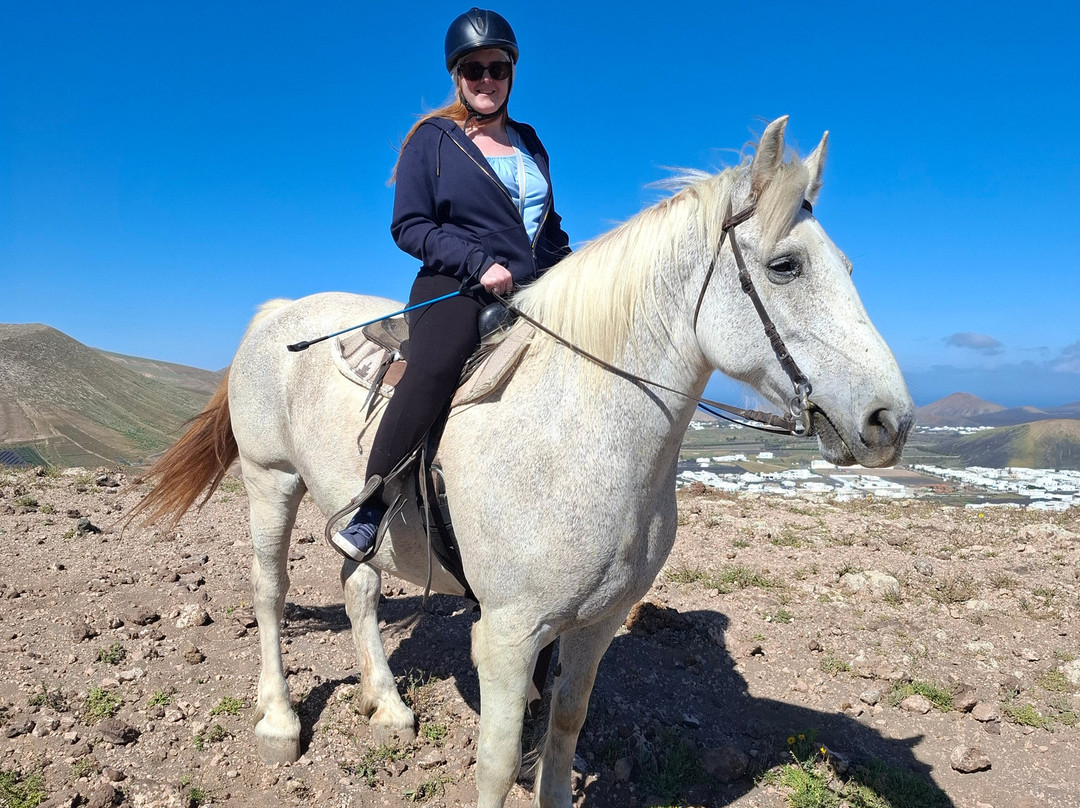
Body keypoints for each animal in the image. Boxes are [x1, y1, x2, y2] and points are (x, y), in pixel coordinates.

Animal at [132, 116, 914, 808]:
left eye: (848, 267)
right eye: (785, 267)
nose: (892, 421)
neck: (574, 433)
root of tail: (277, 312)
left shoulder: (598, 625)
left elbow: (565, 725)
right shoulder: (507, 636)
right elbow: (499, 758)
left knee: (359, 587)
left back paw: (387, 705)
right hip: (271, 481)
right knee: (270, 592)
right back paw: (279, 721)